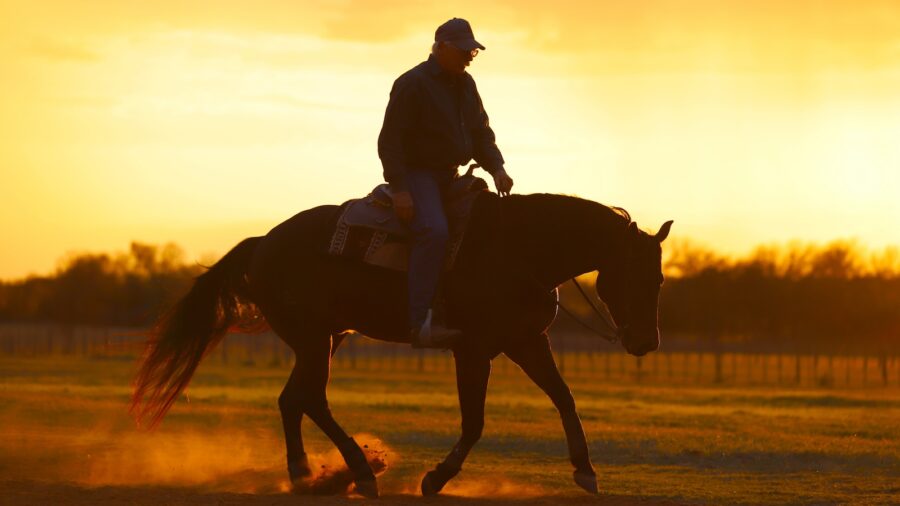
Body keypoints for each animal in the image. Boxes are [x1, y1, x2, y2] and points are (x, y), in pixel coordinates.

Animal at [131, 189, 672, 498]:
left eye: (661, 279)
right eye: (635, 276)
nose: (646, 342)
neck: (518, 250)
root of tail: (262, 242)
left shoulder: (526, 341)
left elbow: (564, 398)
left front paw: (586, 470)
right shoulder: (471, 350)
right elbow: (474, 422)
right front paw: (436, 477)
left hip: (325, 339)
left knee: (293, 400)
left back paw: (305, 474)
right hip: (313, 339)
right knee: (311, 399)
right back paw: (358, 472)